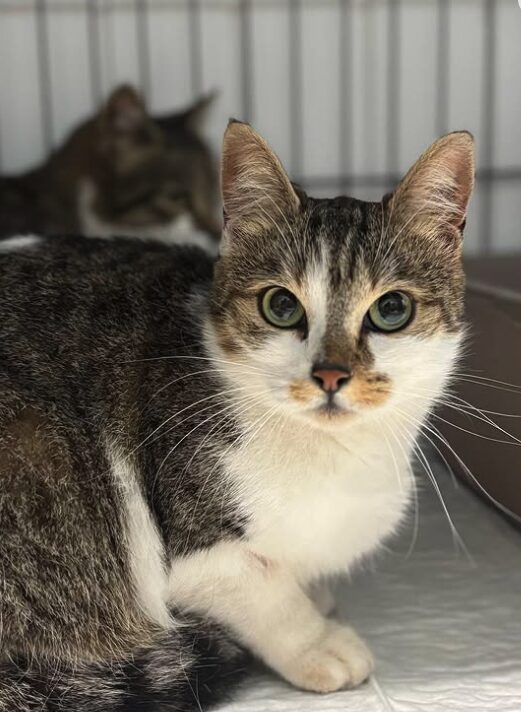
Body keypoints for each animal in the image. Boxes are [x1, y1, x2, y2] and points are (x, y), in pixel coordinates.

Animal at [0, 119, 474, 708]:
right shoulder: (194, 550)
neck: (331, 457)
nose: (331, 374)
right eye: (281, 305)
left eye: (391, 309)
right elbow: (260, 589)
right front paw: (317, 642)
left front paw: (317, 595)